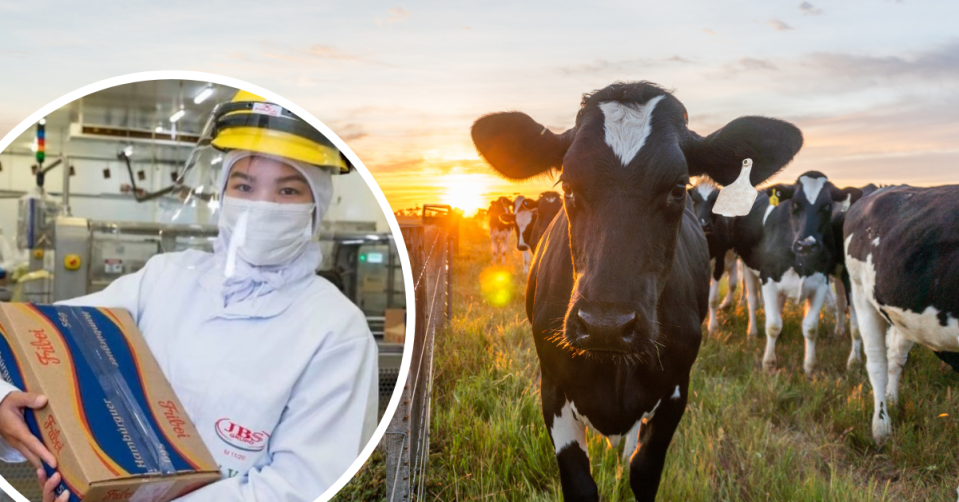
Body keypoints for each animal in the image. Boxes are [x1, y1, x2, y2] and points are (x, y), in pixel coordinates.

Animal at [472, 80, 804, 500]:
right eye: (568, 184)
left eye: (679, 188)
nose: (606, 325)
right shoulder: (552, 389)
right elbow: (580, 484)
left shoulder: (676, 390)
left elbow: (643, 470)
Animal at [756, 172, 872, 372]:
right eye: (795, 203)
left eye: (827, 206)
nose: (806, 244)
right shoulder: (768, 279)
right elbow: (773, 324)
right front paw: (769, 364)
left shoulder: (822, 283)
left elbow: (811, 327)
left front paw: (811, 366)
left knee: (840, 303)